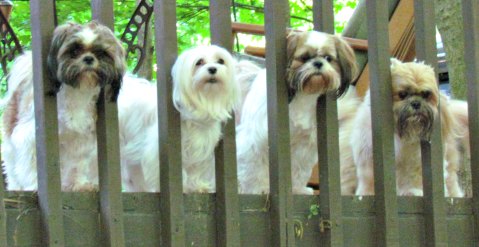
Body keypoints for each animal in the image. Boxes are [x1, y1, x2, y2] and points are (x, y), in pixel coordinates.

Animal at [1, 21, 125, 191]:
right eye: (74, 51)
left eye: (100, 52)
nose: (88, 58)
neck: (77, 93)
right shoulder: (29, 137)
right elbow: (32, 164)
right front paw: (35, 185)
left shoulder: (80, 139)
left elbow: (76, 164)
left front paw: (78, 184)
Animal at [119, 44, 239, 193]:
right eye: (199, 62)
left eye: (221, 61)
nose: (212, 69)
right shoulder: (157, 149)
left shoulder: (200, 147)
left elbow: (195, 169)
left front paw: (197, 186)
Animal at [238, 29, 358, 194]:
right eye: (304, 57)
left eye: (328, 58)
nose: (318, 63)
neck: (299, 97)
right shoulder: (255, 141)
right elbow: (254, 170)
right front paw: (258, 189)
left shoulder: (304, 145)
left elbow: (299, 170)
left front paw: (297, 189)